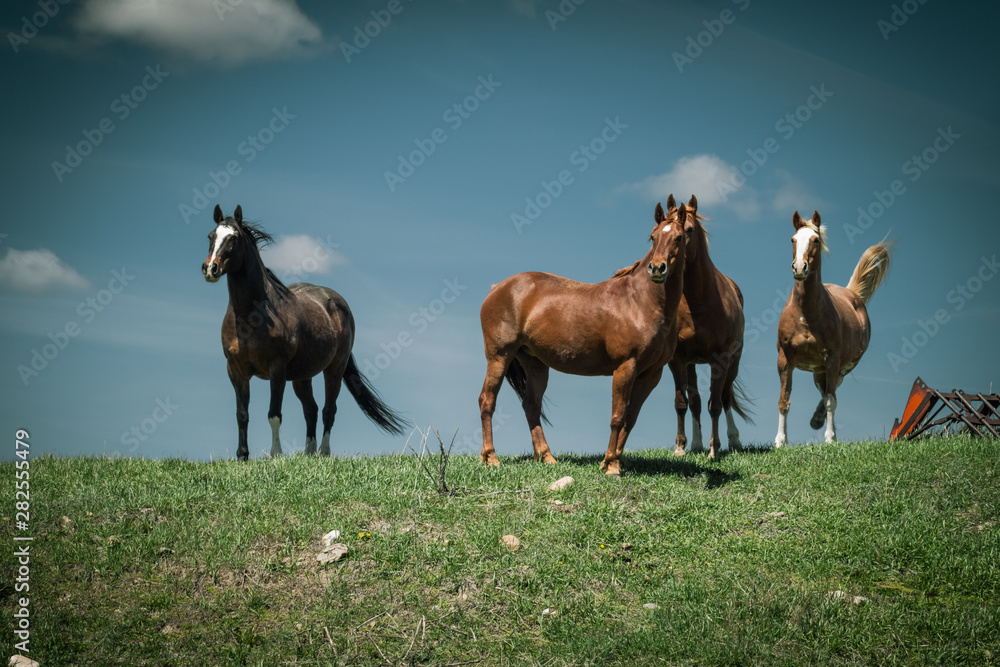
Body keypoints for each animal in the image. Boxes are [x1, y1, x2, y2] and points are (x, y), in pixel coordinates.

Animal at [201, 205, 407, 460]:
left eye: (234, 238)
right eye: (211, 236)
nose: (210, 268)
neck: (252, 315)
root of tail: (336, 301)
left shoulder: (277, 369)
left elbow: (274, 414)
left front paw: (276, 454)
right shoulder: (236, 370)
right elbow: (242, 414)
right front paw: (242, 456)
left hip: (334, 369)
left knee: (329, 409)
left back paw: (323, 452)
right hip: (302, 375)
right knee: (311, 409)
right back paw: (308, 452)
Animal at [478, 202, 687, 475]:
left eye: (680, 237)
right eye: (653, 237)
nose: (657, 268)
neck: (640, 302)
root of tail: (497, 288)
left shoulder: (651, 374)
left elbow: (630, 418)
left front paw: (612, 459)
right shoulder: (625, 367)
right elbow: (618, 416)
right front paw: (611, 466)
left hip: (535, 364)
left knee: (531, 405)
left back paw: (547, 457)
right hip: (499, 356)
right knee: (487, 400)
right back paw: (490, 457)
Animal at [665, 194, 752, 460]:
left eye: (689, 230)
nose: (665, 263)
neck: (699, 302)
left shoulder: (719, 359)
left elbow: (715, 404)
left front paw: (715, 449)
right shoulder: (678, 360)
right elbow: (682, 403)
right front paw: (680, 448)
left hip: (733, 362)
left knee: (725, 397)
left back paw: (733, 440)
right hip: (692, 364)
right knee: (695, 402)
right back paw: (696, 444)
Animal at [775, 210, 891, 446]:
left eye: (816, 240)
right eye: (792, 239)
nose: (799, 268)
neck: (805, 314)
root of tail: (852, 293)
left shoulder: (833, 359)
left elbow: (830, 401)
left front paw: (829, 438)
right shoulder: (784, 359)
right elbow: (784, 400)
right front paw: (780, 441)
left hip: (843, 365)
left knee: (833, 391)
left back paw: (823, 424)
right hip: (818, 371)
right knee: (826, 391)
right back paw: (817, 420)